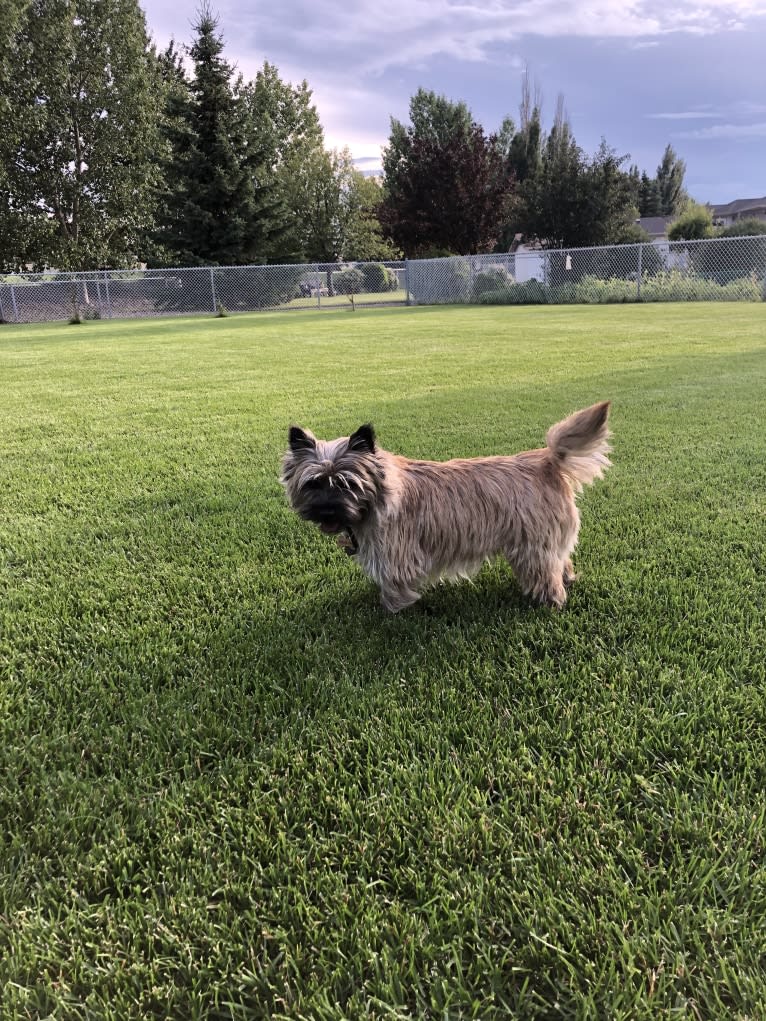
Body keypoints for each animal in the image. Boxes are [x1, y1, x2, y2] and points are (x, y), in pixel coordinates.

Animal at [281, 400, 612, 608]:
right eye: (313, 483)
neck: (377, 496)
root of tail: (547, 460)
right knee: (561, 560)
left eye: (347, 484)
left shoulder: (396, 555)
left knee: (546, 573)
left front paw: (392, 612)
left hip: (533, 546)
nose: (326, 510)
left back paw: (551, 601)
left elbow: (393, 588)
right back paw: (568, 578)